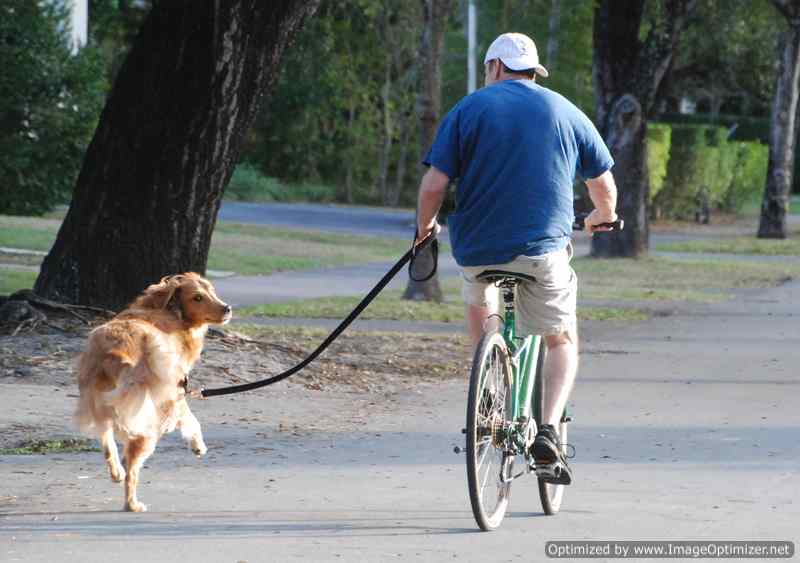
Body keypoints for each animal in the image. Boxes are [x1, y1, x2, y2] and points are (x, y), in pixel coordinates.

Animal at [74, 272, 232, 512]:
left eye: (211, 290)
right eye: (197, 297)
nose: (227, 308)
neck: (171, 313)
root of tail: (115, 353)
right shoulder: (174, 389)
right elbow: (191, 418)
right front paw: (198, 445)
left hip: (100, 406)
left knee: (107, 443)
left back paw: (116, 472)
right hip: (147, 422)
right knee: (132, 467)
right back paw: (132, 504)